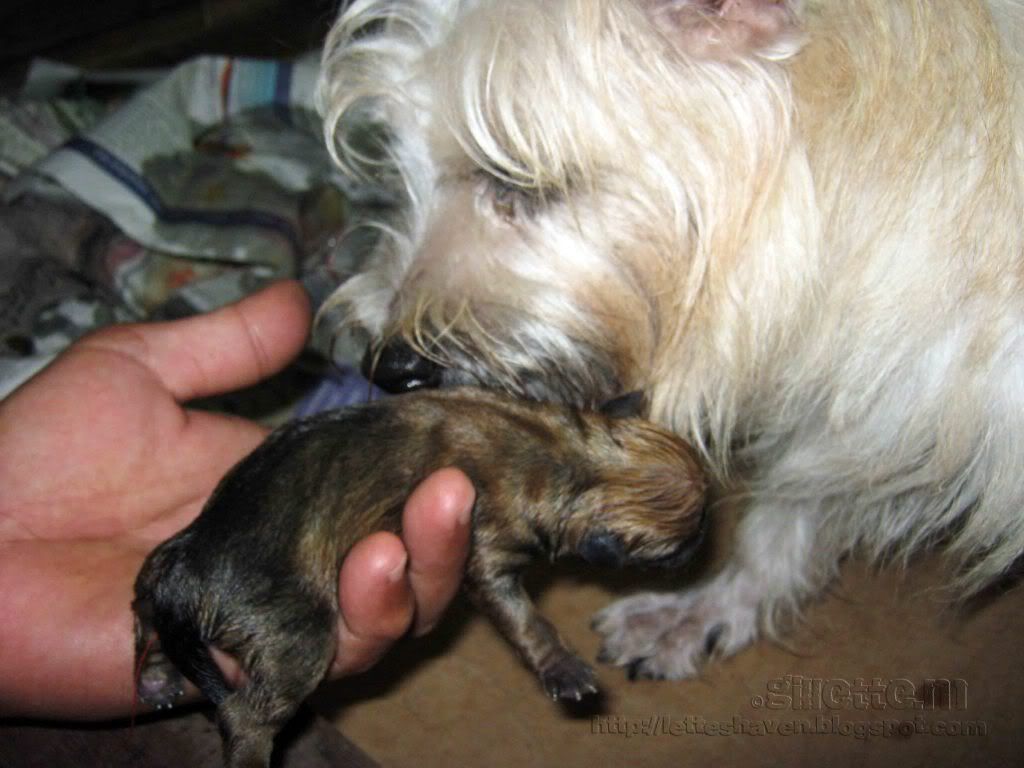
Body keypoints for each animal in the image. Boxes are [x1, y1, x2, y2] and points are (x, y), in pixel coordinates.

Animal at [132, 391, 708, 768]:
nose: (706, 537)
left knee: (144, 620)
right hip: (295, 633)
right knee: (248, 714)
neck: (575, 459)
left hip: (157, 569)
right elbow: (524, 618)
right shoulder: (490, 548)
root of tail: (186, 570)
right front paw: (565, 670)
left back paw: (157, 678)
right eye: (679, 545)